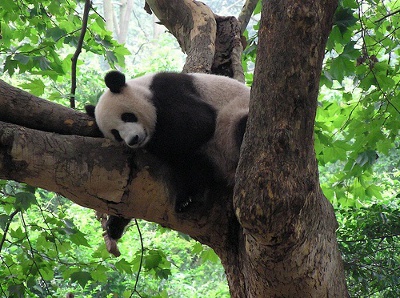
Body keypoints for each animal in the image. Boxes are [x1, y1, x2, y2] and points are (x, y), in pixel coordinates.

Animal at [86, 70, 250, 240]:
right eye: (116, 134)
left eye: (127, 116)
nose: (133, 140)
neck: (144, 88)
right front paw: (115, 223)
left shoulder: (169, 90)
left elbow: (198, 122)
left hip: (233, 122)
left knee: (241, 128)